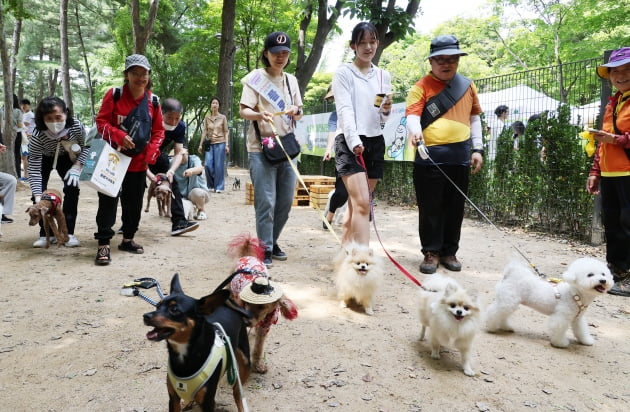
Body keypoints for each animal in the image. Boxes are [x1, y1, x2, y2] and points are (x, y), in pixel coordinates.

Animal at [486, 258, 616, 348]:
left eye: (603, 274)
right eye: (590, 275)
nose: (603, 280)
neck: (575, 294)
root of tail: (510, 274)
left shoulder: (577, 318)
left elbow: (581, 330)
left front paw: (586, 341)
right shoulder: (561, 317)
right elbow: (558, 329)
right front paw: (560, 343)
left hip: (509, 302)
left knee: (502, 315)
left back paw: (505, 327)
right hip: (508, 301)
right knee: (494, 313)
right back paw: (489, 327)